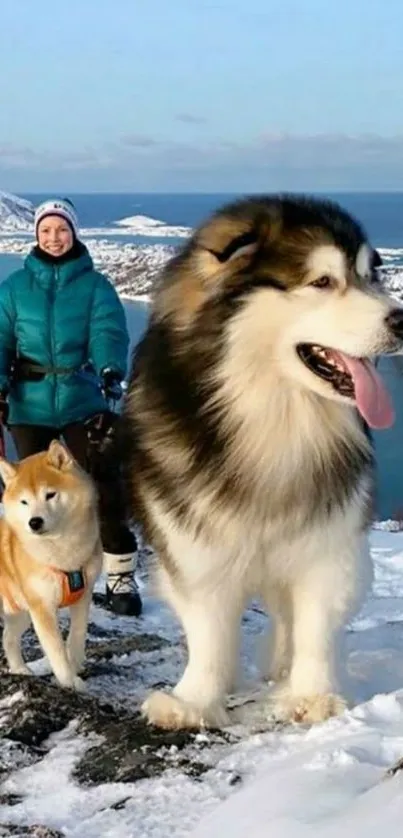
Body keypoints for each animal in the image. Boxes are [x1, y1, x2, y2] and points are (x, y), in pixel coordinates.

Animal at [0, 442, 102, 692]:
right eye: (24, 501)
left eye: (50, 494)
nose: (34, 522)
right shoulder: (42, 608)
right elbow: (56, 651)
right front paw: (69, 681)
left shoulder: (83, 595)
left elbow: (77, 636)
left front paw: (76, 664)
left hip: (20, 611)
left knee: (8, 638)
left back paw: (20, 670)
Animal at [121, 195, 403, 728]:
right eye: (322, 282)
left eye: (370, 276)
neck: (272, 418)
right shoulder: (194, 540)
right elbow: (210, 630)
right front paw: (194, 700)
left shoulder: (328, 539)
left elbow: (314, 623)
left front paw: (312, 695)